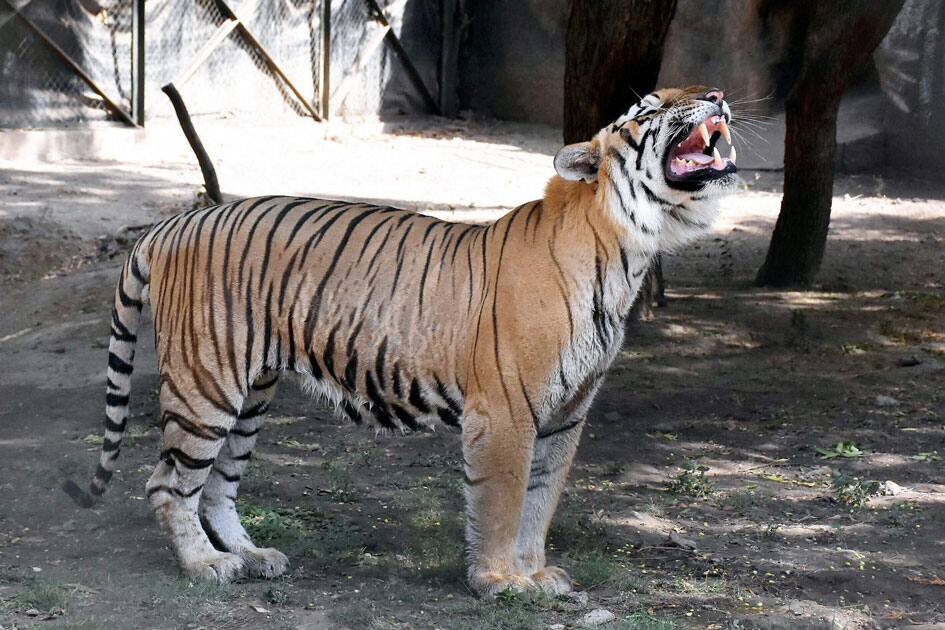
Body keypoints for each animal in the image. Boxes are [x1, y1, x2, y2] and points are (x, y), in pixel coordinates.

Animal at [68, 87, 736, 596]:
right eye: (650, 107)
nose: (717, 95)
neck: (629, 248)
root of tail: (171, 223)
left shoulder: (567, 414)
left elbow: (540, 501)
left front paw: (535, 573)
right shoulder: (507, 412)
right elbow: (503, 502)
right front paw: (499, 581)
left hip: (251, 392)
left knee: (217, 487)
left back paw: (254, 556)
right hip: (206, 384)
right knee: (168, 485)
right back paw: (205, 566)